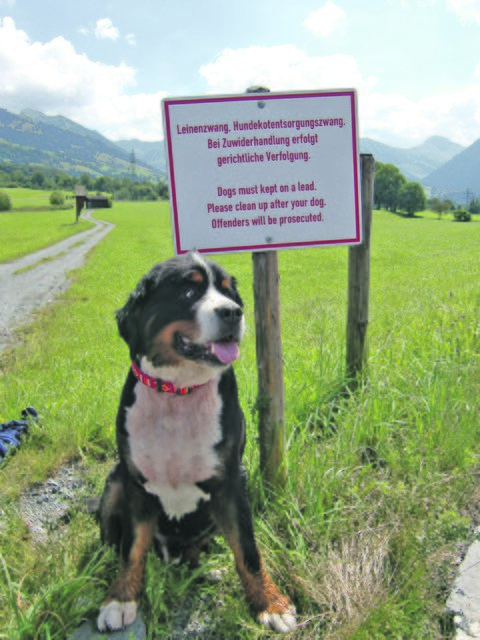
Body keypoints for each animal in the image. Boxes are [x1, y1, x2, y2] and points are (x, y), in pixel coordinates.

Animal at [97, 251, 296, 636]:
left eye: (229, 292)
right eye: (188, 291)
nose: (233, 312)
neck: (179, 393)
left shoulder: (230, 481)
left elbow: (247, 551)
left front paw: (270, 603)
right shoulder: (136, 484)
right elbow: (132, 548)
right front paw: (120, 599)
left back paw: (208, 570)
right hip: (115, 481)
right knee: (114, 543)